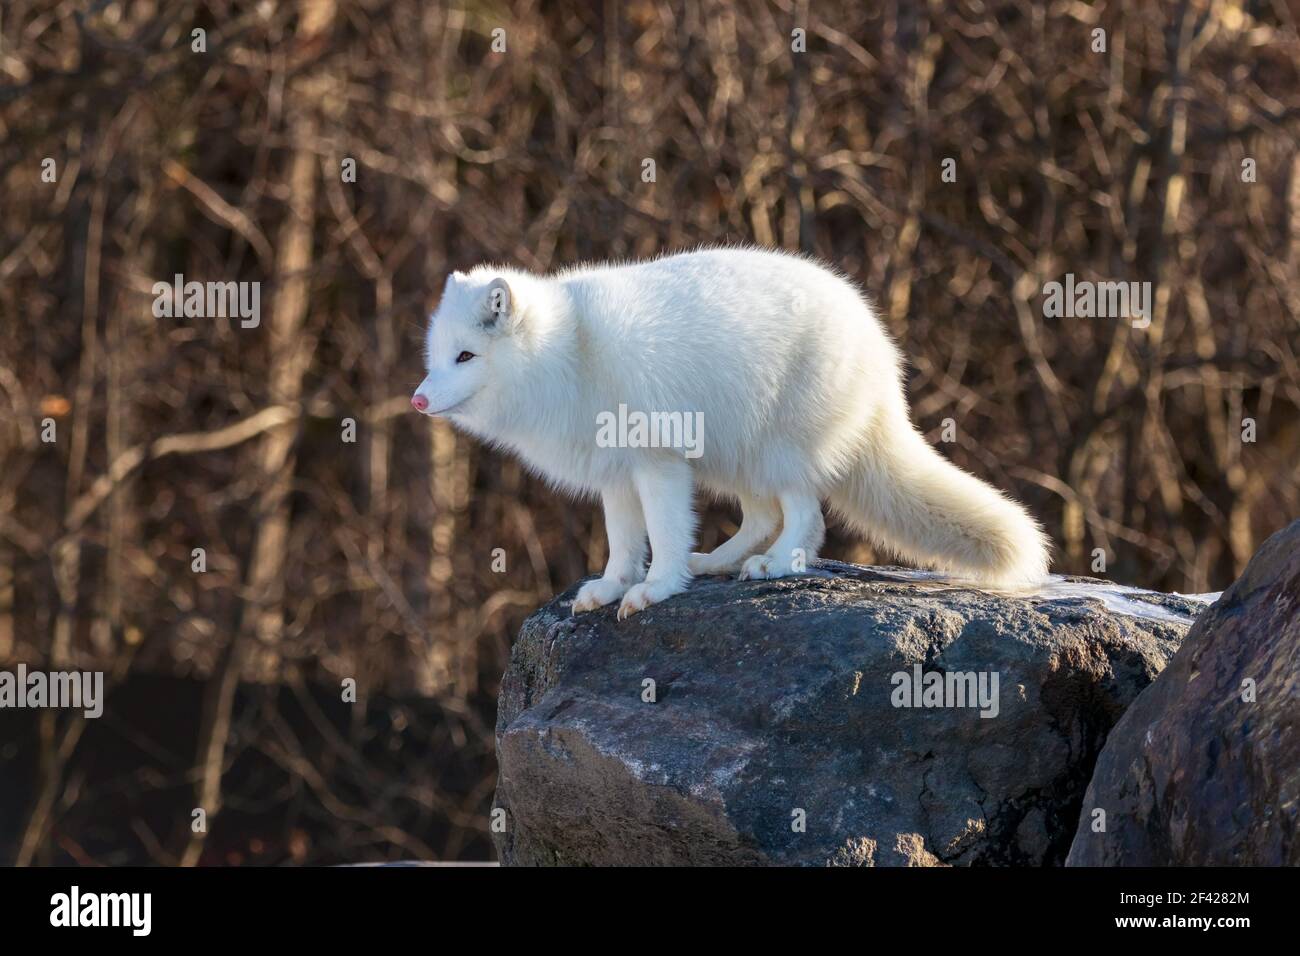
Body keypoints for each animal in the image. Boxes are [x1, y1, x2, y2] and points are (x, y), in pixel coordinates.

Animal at [411, 247, 1051, 620]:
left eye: (466, 356)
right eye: (437, 357)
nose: (418, 399)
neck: (569, 352)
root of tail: (884, 355)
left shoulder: (659, 463)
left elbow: (665, 535)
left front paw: (656, 589)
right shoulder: (616, 474)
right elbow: (623, 544)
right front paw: (612, 587)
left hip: (781, 451)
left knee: (805, 519)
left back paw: (775, 564)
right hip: (736, 456)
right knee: (762, 518)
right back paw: (716, 563)